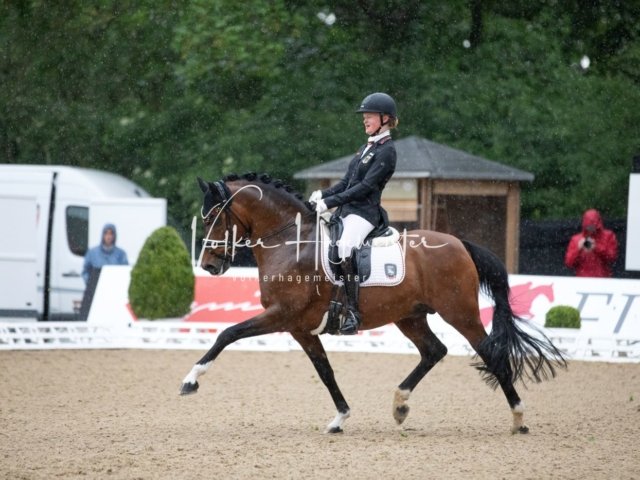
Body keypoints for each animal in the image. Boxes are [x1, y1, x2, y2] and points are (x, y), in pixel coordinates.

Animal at [180, 172, 567, 434]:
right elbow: (325, 371)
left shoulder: (281, 316)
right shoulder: (301, 327)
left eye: (213, 217)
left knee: (490, 353)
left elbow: (227, 334)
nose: (209, 266)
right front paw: (340, 418)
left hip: (460, 313)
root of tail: (460, 243)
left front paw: (191, 380)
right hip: (410, 316)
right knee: (434, 351)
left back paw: (518, 418)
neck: (291, 241)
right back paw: (400, 405)